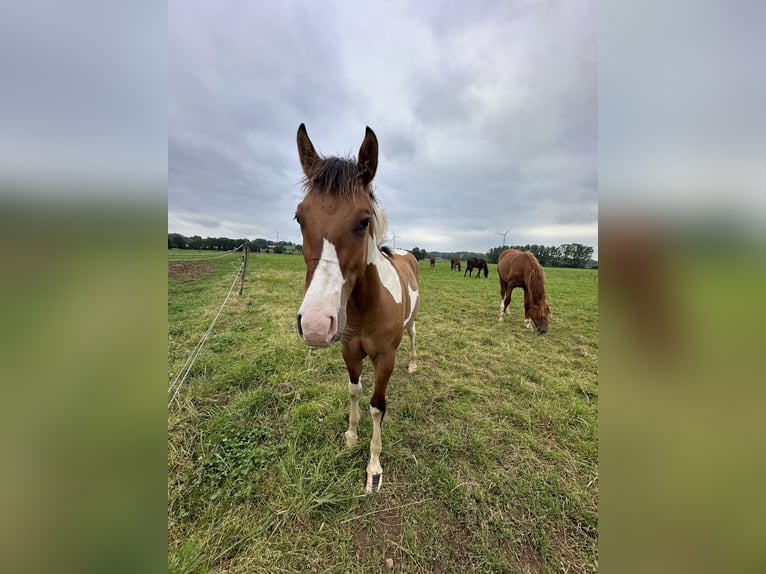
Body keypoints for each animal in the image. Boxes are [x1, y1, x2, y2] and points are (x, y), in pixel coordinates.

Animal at [294, 125, 420, 496]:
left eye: (364, 221)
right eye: (299, 217)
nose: (315, 325)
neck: (367, 306)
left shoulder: (384, 359)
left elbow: (378, 406)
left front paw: (373, 467)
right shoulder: (350, 352)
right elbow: (354, 391)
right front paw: (351, 436)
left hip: (411, 326)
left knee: (413, 336)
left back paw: (414, 363)